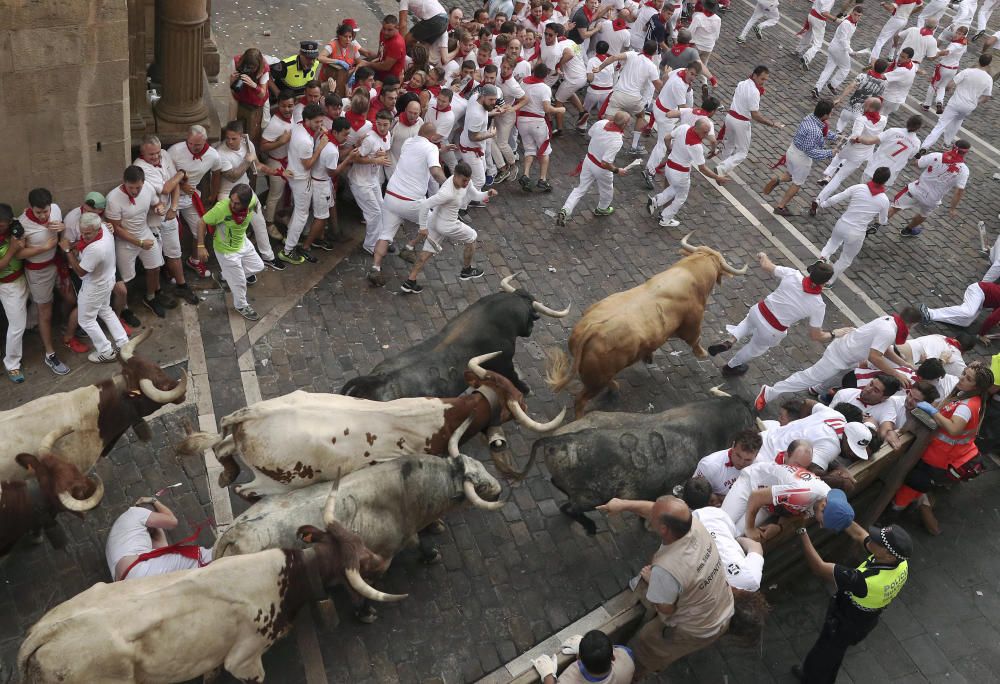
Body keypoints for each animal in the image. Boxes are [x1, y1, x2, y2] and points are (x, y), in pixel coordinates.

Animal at [179, 352, 564, 496]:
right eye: (517, 404)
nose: (525, 393)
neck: (446, 418)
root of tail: (251, 414)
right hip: (276, 482)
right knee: (247, 490)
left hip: (243, 434)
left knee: (222, 448)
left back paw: (226, 471)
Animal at [548, 234, 744, 416]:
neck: (690, 274)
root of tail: (592, 329)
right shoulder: (692, 323)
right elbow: (695, 339)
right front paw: (702, 353)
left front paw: (649, 356)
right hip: (597, 380)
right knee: (580, 400)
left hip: (597, 376)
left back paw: (616, 386)